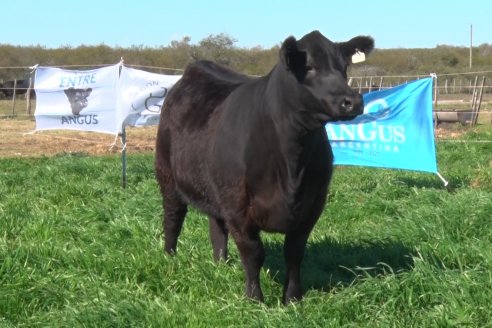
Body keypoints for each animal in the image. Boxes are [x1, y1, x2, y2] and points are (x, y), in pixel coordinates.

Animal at [154, 30, 372, 304]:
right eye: (309, 67)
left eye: (344, 67)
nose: (352, 101)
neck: (292, 164)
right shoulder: (238, 205)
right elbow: (254, 253)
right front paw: (254, 299)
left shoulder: (313, 204)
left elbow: (294, 253)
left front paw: (293, 299)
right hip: (168, 176)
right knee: (173, 217)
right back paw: (170, 257)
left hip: (213, 186)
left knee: (216, 227)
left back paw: (221, 264)